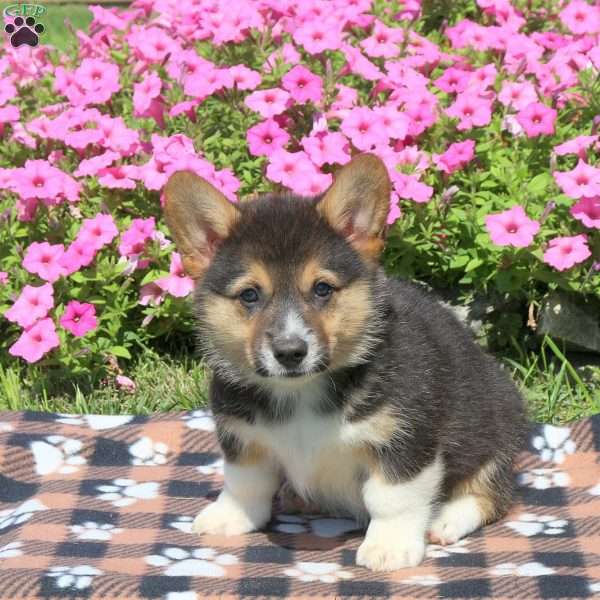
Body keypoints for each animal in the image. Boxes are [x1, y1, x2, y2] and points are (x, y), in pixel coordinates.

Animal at [164, 154, 524, 572]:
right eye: (250, 295)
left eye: (322, 288)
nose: (290, 352)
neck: (300, 391)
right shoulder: (241, 435)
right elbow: (244, 482)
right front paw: (229, 517)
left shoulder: (405, 440)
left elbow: (391, 499)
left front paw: (389, 547)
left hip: (495, 437)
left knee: (491, 495)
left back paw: (445, 521)